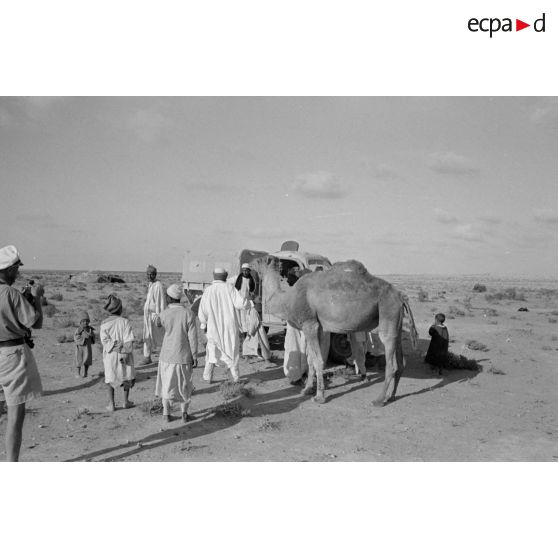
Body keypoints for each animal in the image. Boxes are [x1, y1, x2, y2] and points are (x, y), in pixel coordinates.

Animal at [258, 258, 420, 406]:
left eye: (259, 260)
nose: (253, 263)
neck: (287, 299)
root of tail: (401, 296)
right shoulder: (319, 328)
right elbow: (311, 360)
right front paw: (306, 390)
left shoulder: (309, 324)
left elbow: (318, 360)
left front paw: (319, 397)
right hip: (397, 322)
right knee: (400, 361)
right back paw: (391, 396)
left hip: (388, 311)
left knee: (391, 362)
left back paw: (379, 400)